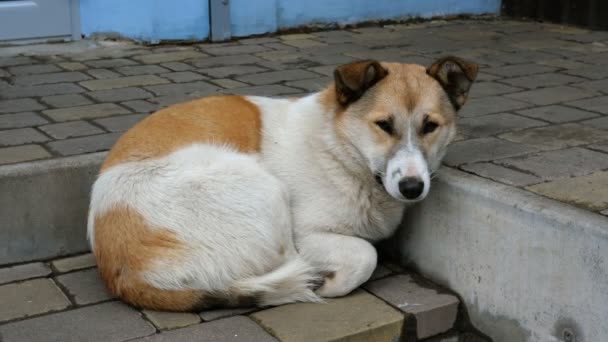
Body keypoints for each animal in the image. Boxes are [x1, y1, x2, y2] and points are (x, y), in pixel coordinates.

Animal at [86, 55, 476, 310]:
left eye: (430, 126)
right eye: (383, 125)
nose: (412, 188)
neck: (338, 149)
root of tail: (122, 273)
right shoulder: (307, 234)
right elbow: (365, 254)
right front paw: (332, 283)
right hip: (264, 188)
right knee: (290, 264)